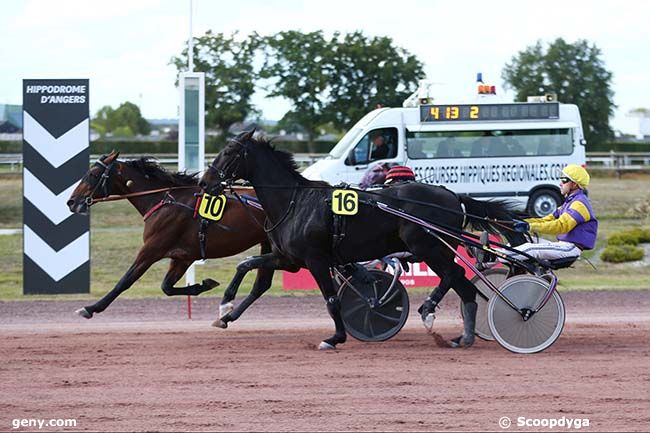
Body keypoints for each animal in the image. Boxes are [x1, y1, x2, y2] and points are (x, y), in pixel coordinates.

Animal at [67, 150, 274, 318]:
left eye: (93, 174)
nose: (72, 201)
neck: (165, 201)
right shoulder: (183, 256)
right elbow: (166, 287)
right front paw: (203, 285)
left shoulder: (151, 250)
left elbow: (125, 281)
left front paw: (91, 308)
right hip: (269, 243)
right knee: (262, 284)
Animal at [199, 130, 528, 350]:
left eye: (229, 152)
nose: (204, 183)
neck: (295, 202)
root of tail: (452, 196)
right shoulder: (289, 259)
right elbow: (245, 265)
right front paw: (225, 309)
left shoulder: (316, 260)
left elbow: (332, 299)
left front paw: (335, 338)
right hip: (433, 247)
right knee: (461, 283)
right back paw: (461, 333)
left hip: (428, 245)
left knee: (455, 276)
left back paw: (438, 314)